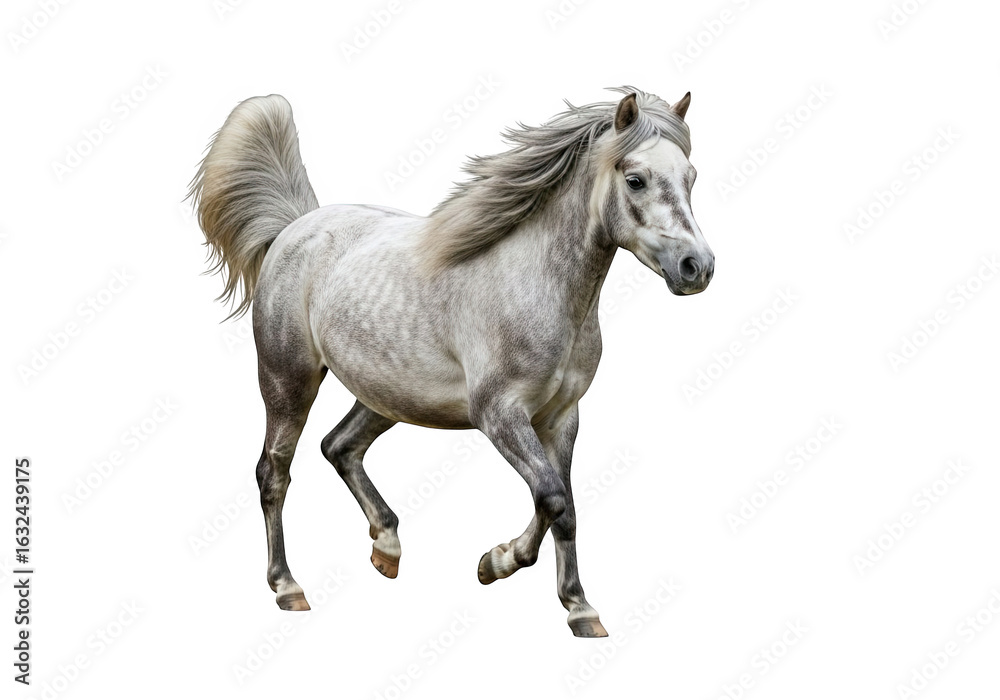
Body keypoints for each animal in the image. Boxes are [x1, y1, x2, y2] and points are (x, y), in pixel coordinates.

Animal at [188, 86, 714, 637]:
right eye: (635, 179)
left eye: (691, 177)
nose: (697, 268)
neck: (539, 287)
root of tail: (294, 228)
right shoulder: (499, 414)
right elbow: (551, 497)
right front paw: (496, 563)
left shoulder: (561, 418)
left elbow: (565, 506)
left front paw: (580, 609)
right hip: (288, 381)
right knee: (274, 472)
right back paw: (288, 587)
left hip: (387, 396)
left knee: (339, 447)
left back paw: (387, 549)